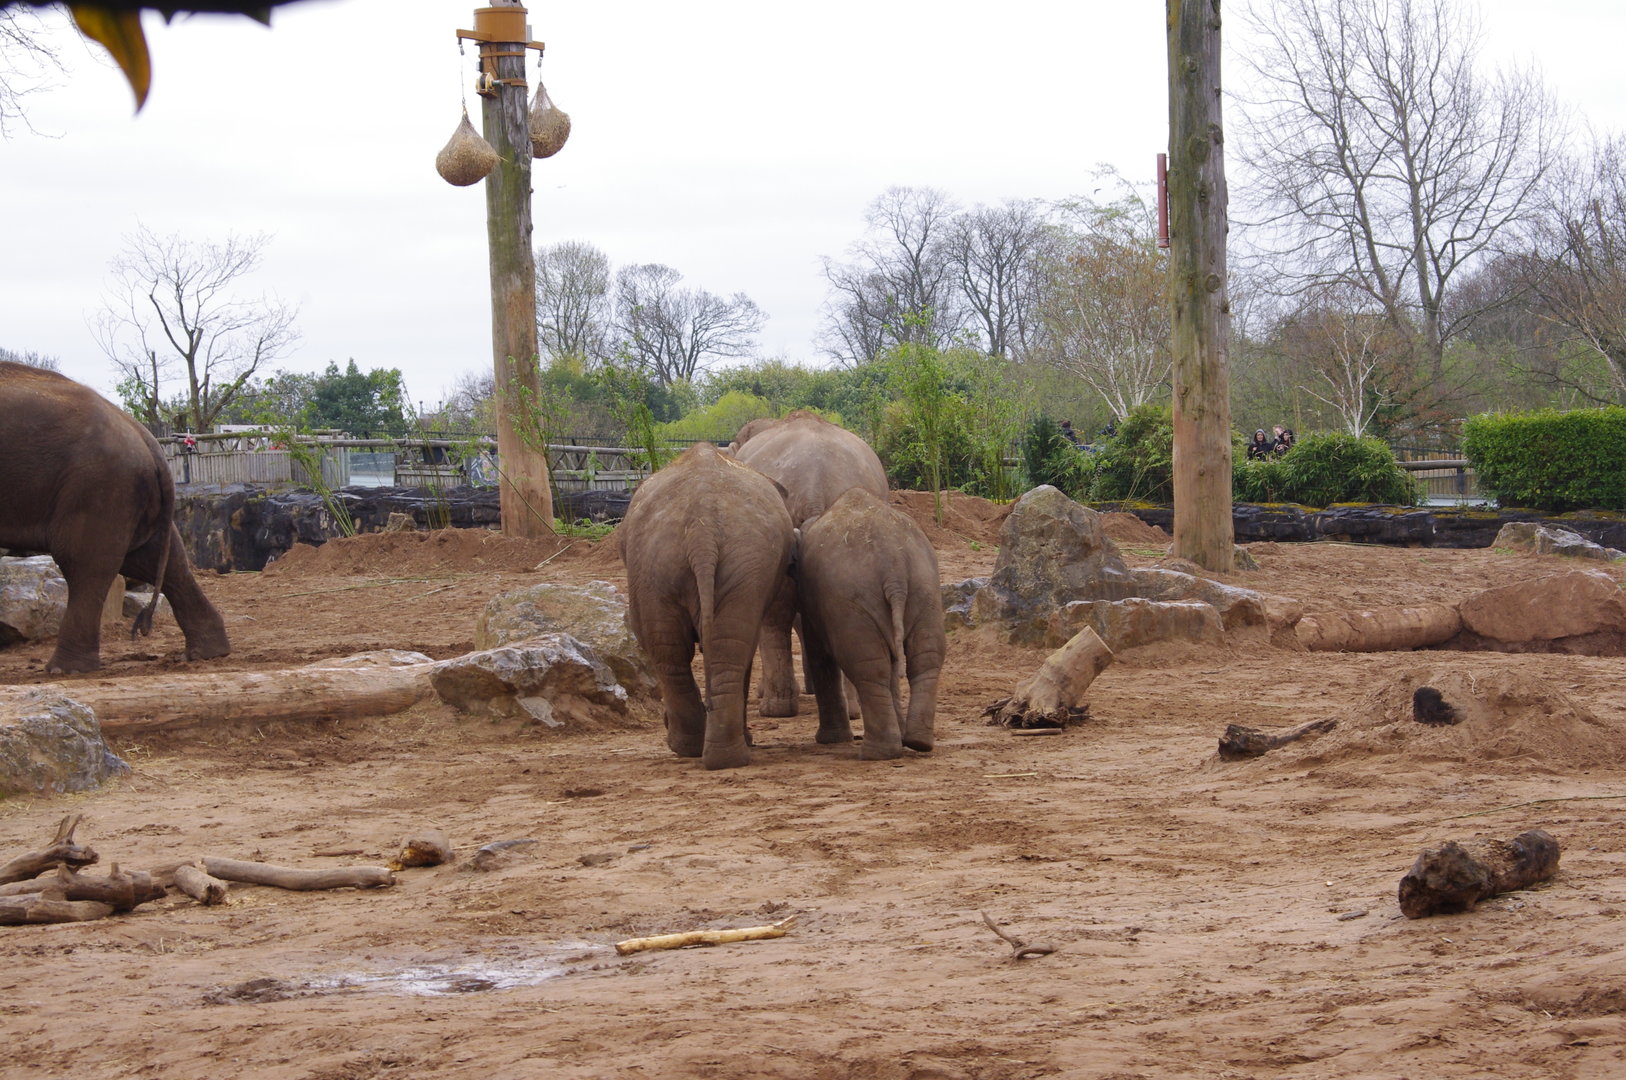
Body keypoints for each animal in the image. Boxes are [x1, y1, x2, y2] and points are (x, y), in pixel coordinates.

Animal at [0, 361, 231, 673]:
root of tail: (144, 435)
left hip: (100, 484)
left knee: (83, 562)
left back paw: (65, 670)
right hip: (125, 492)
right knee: (159, 560)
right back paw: (207, 653)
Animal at [618, 442, 795, 770]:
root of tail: (702, 529)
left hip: (676, 564)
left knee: (699, 651)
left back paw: (706, 751)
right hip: (663, 565)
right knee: (685, 651)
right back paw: (710, 753)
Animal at [796, 487, 944, 760]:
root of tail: (894, 567)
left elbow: (820, 656)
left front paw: (829, 740)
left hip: (857, 600)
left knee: (868, 665)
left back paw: (876, 753)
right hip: (925, 587)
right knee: (924, 658)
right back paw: (917, 742)